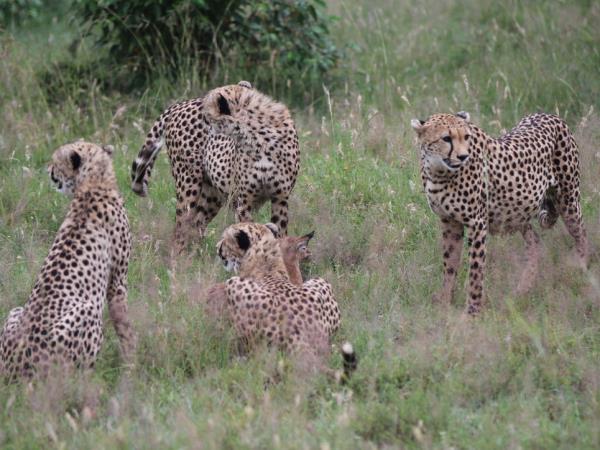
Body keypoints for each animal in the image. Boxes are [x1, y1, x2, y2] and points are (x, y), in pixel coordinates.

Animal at [0, 142, 135, 380]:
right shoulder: (118, 283)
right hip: (87, 313)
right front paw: (130, 362)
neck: (92, 184)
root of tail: (12, 369)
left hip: (15, 311)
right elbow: (123, 324)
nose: (48, 170)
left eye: (56, 161)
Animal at [131, 81, 300, 253]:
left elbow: (280, 234)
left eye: (207, 115)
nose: (210, 134)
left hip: (211, 194)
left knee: (197, 223)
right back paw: (179, 256)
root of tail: (180, 104)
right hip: (188, 185)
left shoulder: (280, 198)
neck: (260, 138)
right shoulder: (244, 202)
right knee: (181, 226)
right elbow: (248, 231)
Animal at [410, 112, 588, 314]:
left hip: (568, 201)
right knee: (535, 241)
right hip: (519, 213)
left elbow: (475, 272)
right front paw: (444, 304)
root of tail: (548, 115)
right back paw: (522, 289)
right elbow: (449, 265)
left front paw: (471, 313)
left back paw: (581, 270)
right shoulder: (449, 222)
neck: (438, 171)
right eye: (446, 138)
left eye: (466, 137)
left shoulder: (477, 224)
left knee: (581, 233)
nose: (463, 156)